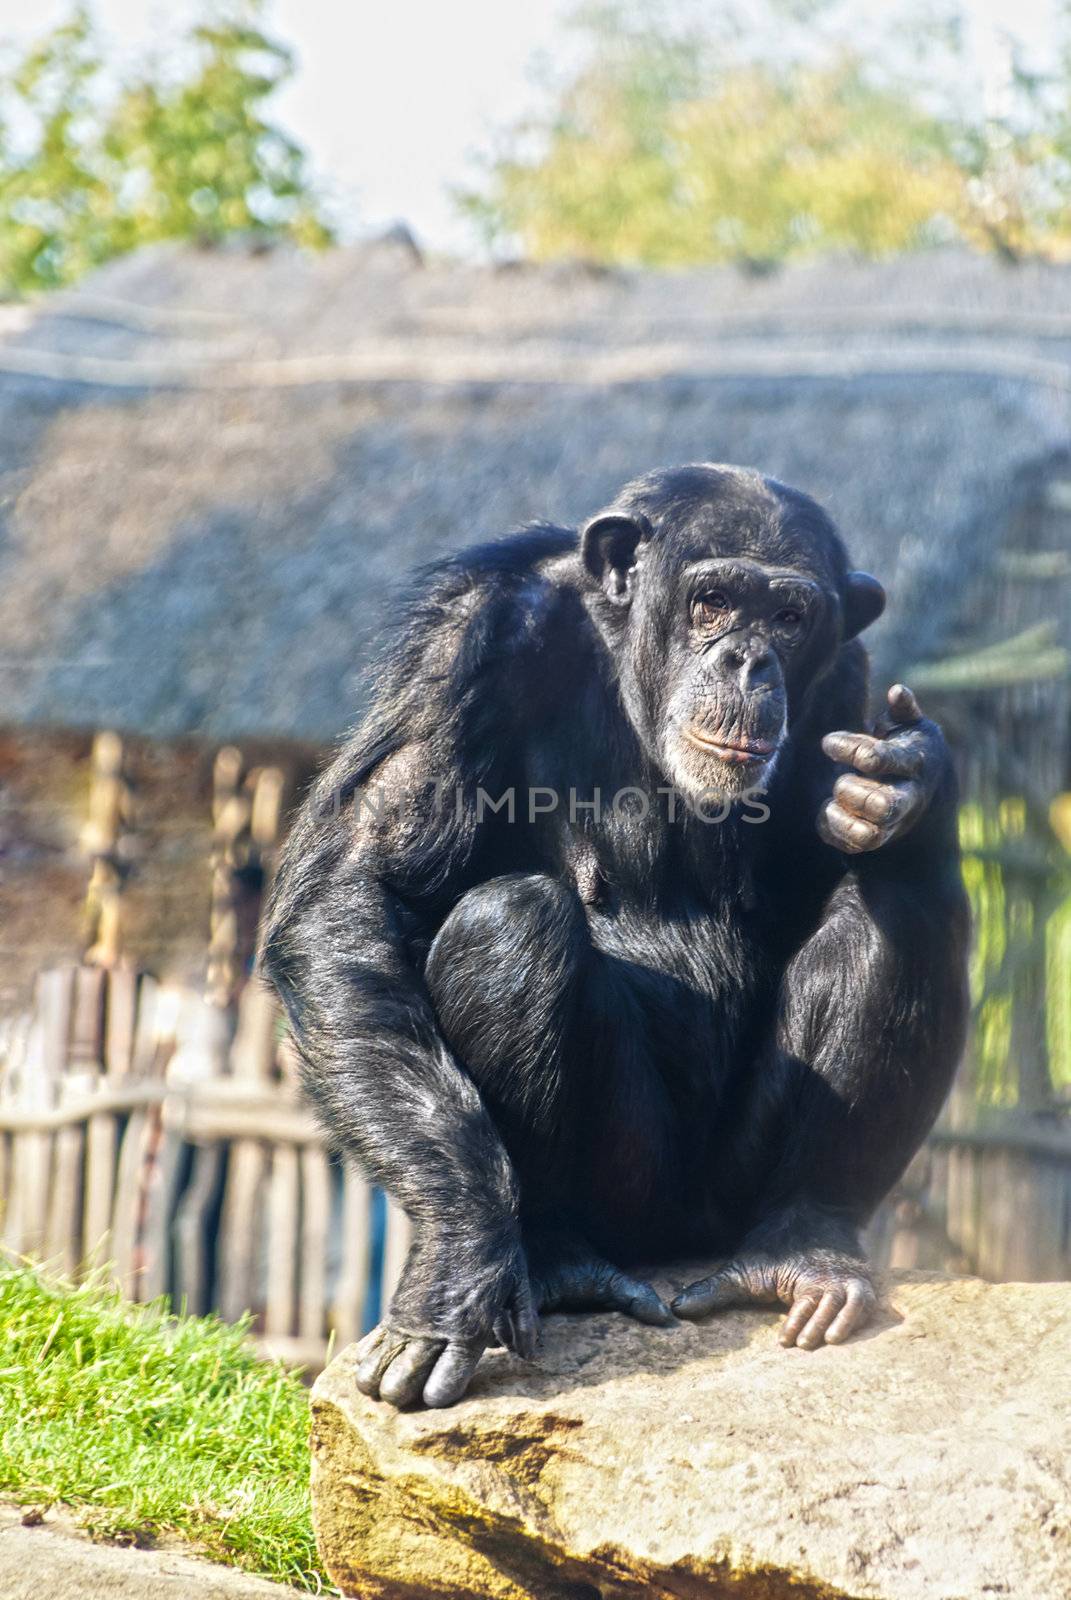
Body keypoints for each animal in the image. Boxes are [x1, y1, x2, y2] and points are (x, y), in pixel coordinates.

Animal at [260, 467, 966, 1414]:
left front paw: (907, 780)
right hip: (632, 1189)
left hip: (727, 1197)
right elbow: (359, 891)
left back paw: (803, 1247)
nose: (748, 660)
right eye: (712, 600)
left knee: (897, 895)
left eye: (788, 616)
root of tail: (678, 1245)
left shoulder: (845, 675)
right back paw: (557, 1257)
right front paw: (454, 1270)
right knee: (512, 921)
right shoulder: (467, 642)